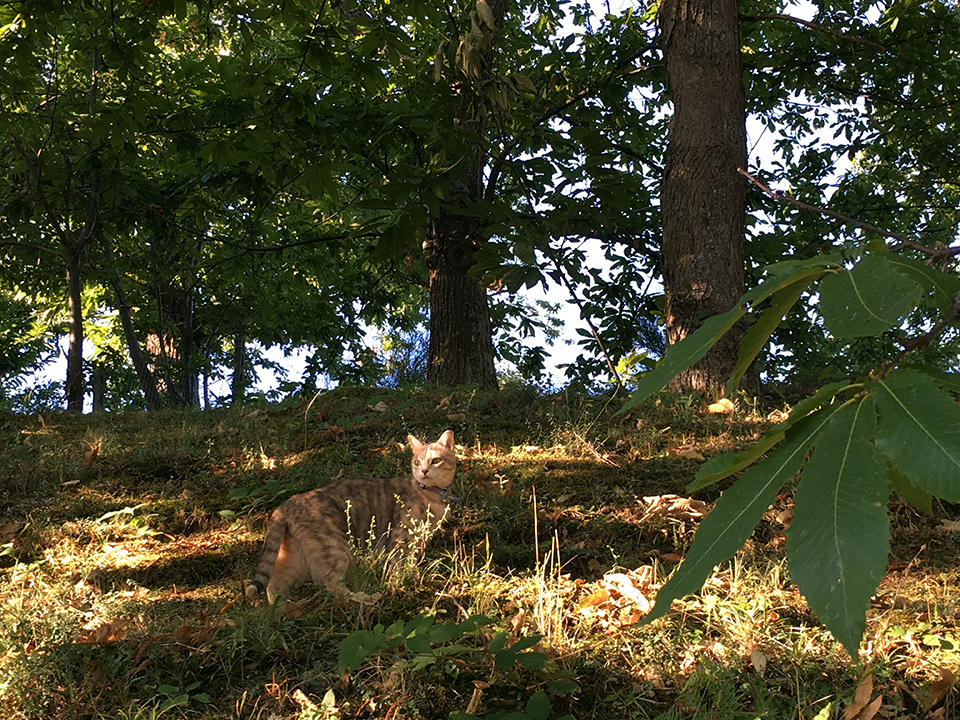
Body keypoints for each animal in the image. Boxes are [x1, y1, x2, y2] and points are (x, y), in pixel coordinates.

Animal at [246, 434, 460, 600]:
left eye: (435, 460)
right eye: (417, 462)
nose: (423, 471)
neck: (432, 494)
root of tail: (285, 505)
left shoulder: (420, 539)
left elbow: (412, 561)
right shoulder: (401, 538)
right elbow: (399, 565)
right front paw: (402, 583)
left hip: (294, 558)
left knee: (273, 584)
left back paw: (284, 609)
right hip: (334, 547)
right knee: (331, 585)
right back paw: (363, 598)